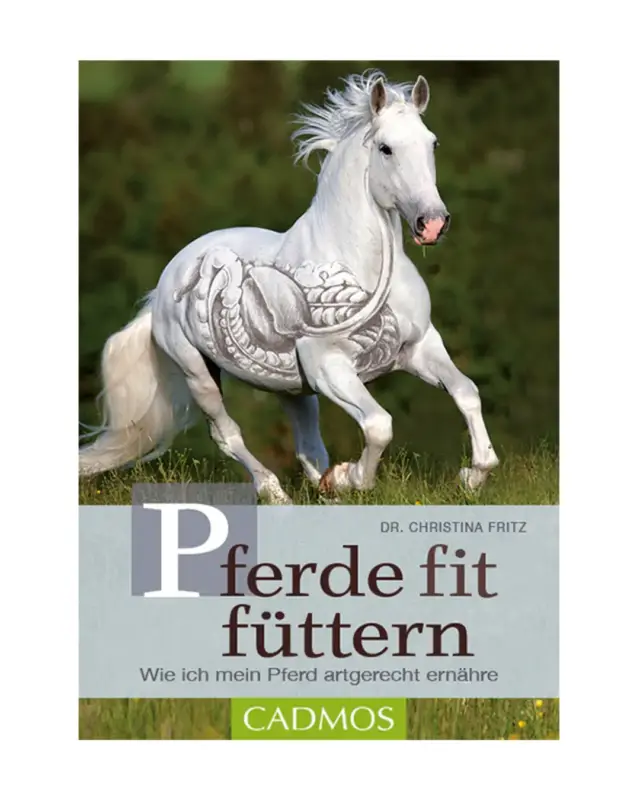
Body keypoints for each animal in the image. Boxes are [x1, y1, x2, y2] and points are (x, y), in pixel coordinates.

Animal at [79, 71, 499, 503]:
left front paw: (472, 477)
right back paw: (276, 493)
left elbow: (466, 392)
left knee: (308, 447)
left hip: (291, 389)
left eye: (432, 142)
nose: (432, 223)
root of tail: (163, 287)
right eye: (385, 148)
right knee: (228, 435)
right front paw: (351, 478)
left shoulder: (418, 347)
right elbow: (379, 425)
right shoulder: (329, 366)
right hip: (197, 372)